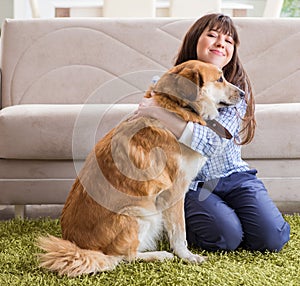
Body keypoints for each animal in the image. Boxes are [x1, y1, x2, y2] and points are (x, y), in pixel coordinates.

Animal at [37, 59, 244, 276]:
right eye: (220, 79)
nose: (243, 94)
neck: (177, 106)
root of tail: (81, 247)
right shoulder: (175, 191)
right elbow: (180, 231)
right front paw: (187, 256)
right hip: (141, 213)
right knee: (125, 257)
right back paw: (159, 255)